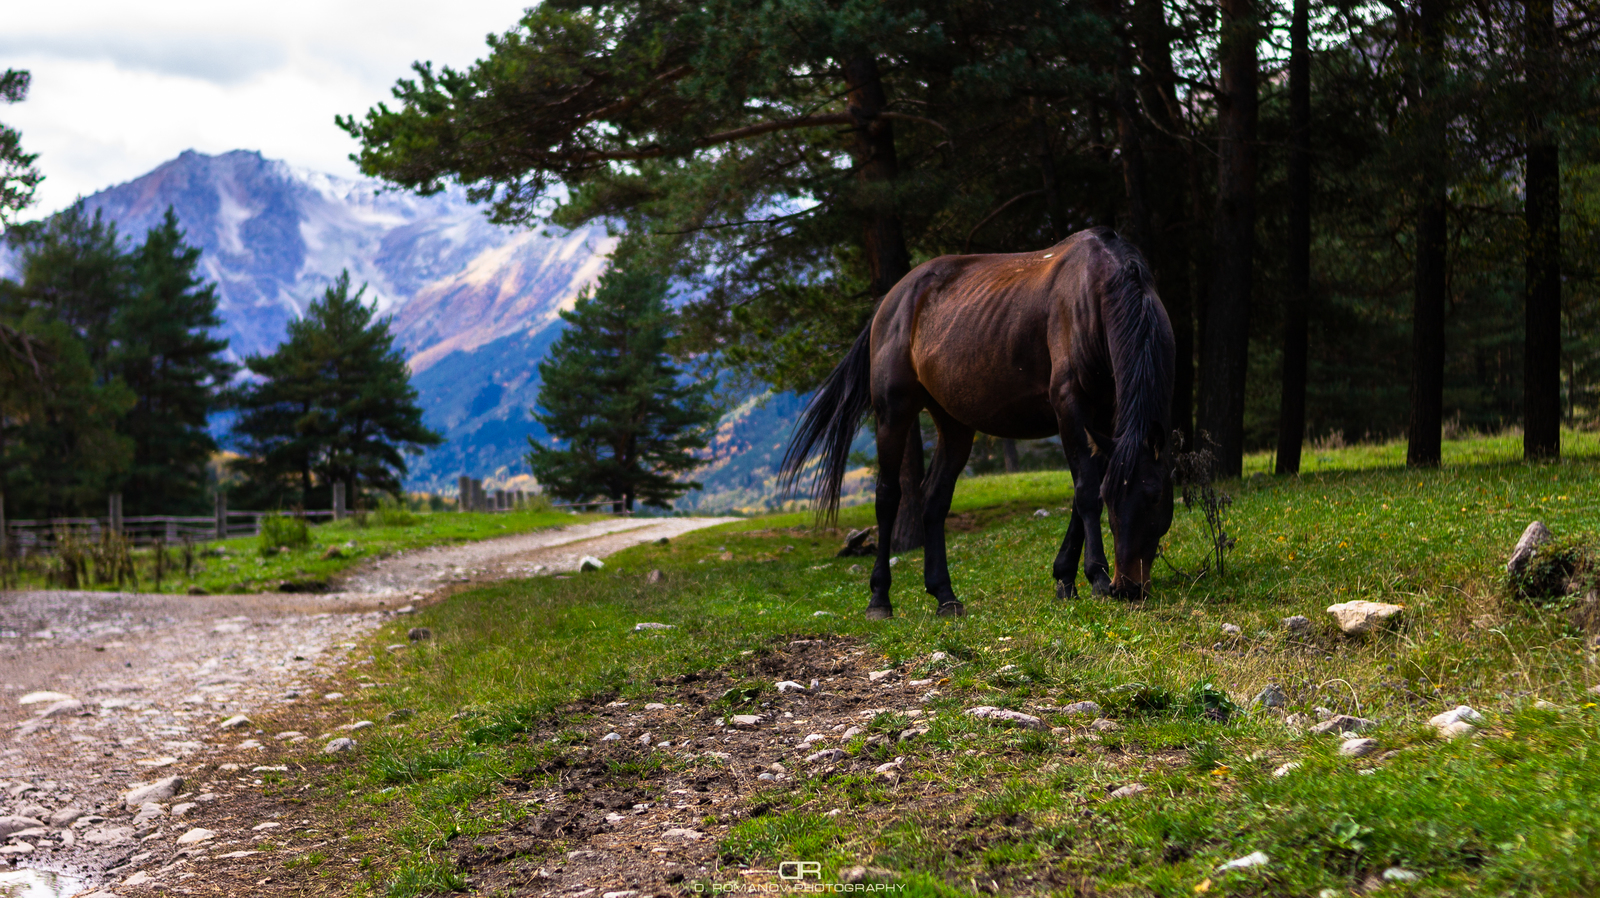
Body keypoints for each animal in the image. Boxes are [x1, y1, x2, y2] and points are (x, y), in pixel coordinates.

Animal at [784, 225, 1177, 614]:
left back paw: (945, 596)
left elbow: (1084, 491)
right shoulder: (1069, 405)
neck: (1097, 292)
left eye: (1155, 496)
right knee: (888, 497)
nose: (1128, 587)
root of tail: (890, 302)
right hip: (892, 414)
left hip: (954, 424)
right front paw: (1094, 576)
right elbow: (1085, 490)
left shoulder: (1105, 416)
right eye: (1115, 501)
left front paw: (1066, 579)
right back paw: (880, 599)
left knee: (934, 499)